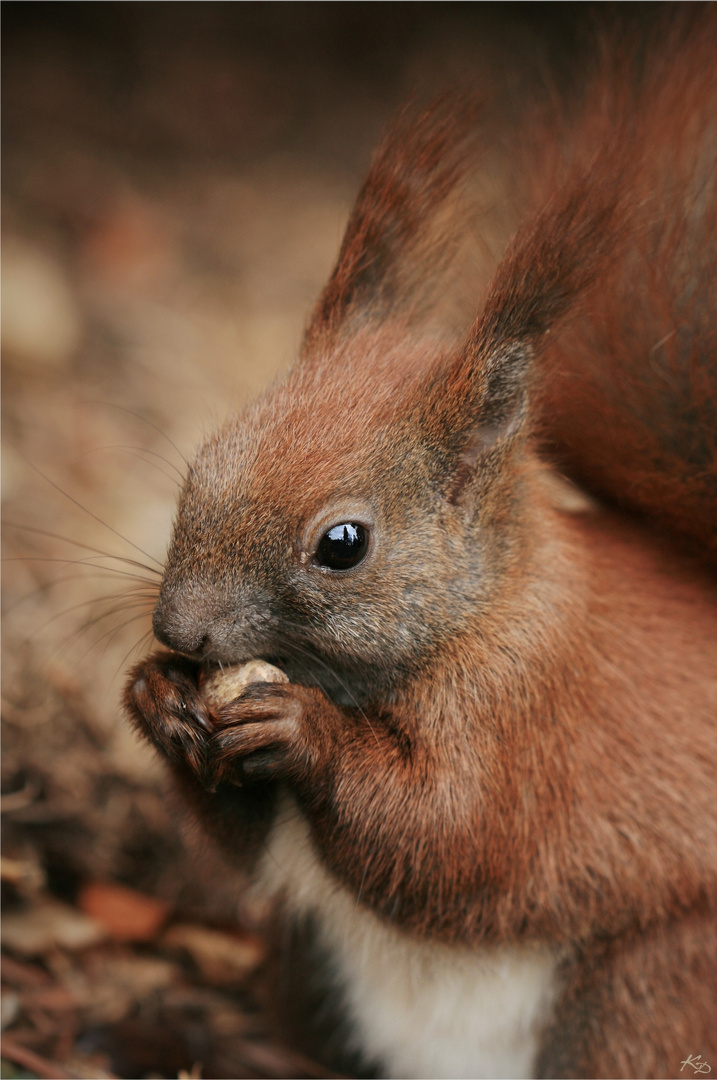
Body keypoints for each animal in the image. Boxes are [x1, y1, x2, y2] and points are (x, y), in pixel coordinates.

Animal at [124, 10, 717, 1080]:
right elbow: (243, 845)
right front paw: (154, 696)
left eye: (342, 544)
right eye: (203, 459)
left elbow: (453, 840)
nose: (179, 630)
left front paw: (303, 731)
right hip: (307, 957)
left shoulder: (528, 711)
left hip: (652, 989)